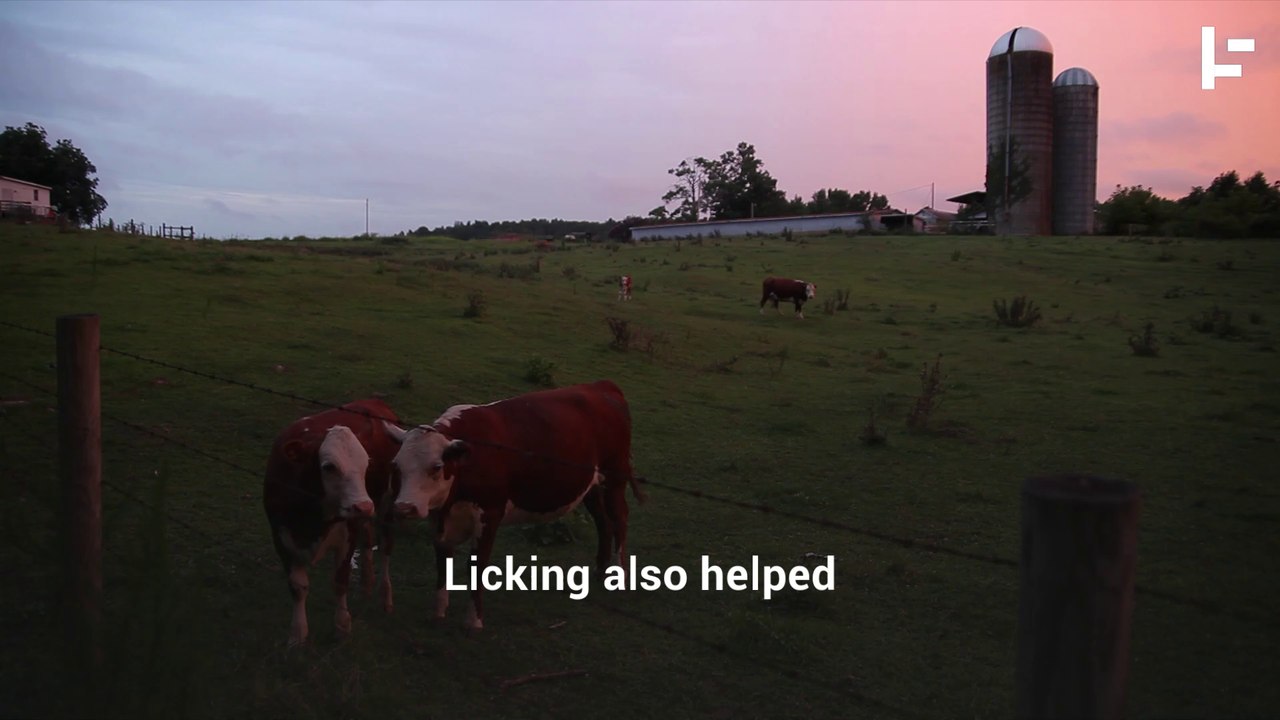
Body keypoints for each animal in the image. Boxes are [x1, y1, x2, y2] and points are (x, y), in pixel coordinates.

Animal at [263, 399, 404, 646]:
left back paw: (385, 595)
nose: (364, 505)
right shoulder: (280, 535)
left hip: (386, 505)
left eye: (366, 464)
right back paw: (366, 582)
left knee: (386, 546)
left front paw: (342, 627)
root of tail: (375, 402)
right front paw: (298, 634)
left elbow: (340, 580)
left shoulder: (348, 535)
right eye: (329, 466)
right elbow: (298, 586)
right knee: (368, 540)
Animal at [388, 380, 643, 631]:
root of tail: (602, 385)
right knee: (603, 522)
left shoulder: (490, 513)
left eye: (437, 466)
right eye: (396, 466)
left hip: (615, 477)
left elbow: (477, 565)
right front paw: (439, 612)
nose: (404, 507)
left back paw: (620, 575)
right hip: (591, 485)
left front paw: (474, 621)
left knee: (619, 518)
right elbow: (442, 562)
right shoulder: (439, 519)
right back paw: (600, 571)